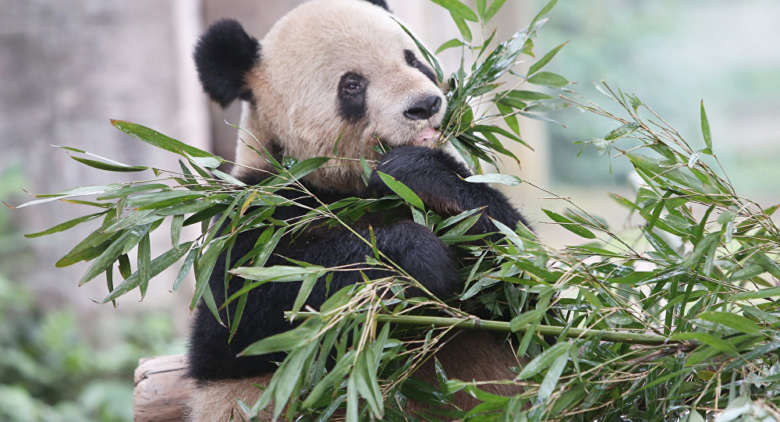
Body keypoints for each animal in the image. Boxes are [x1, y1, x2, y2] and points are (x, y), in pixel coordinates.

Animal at [187, 0, 524, 418]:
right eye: (352, 85)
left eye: (413, 58)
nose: (425, 106)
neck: (350, 186)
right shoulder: (255, 210)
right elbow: (251, 304)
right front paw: (419, 257)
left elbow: (520, 275)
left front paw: (417, 172)